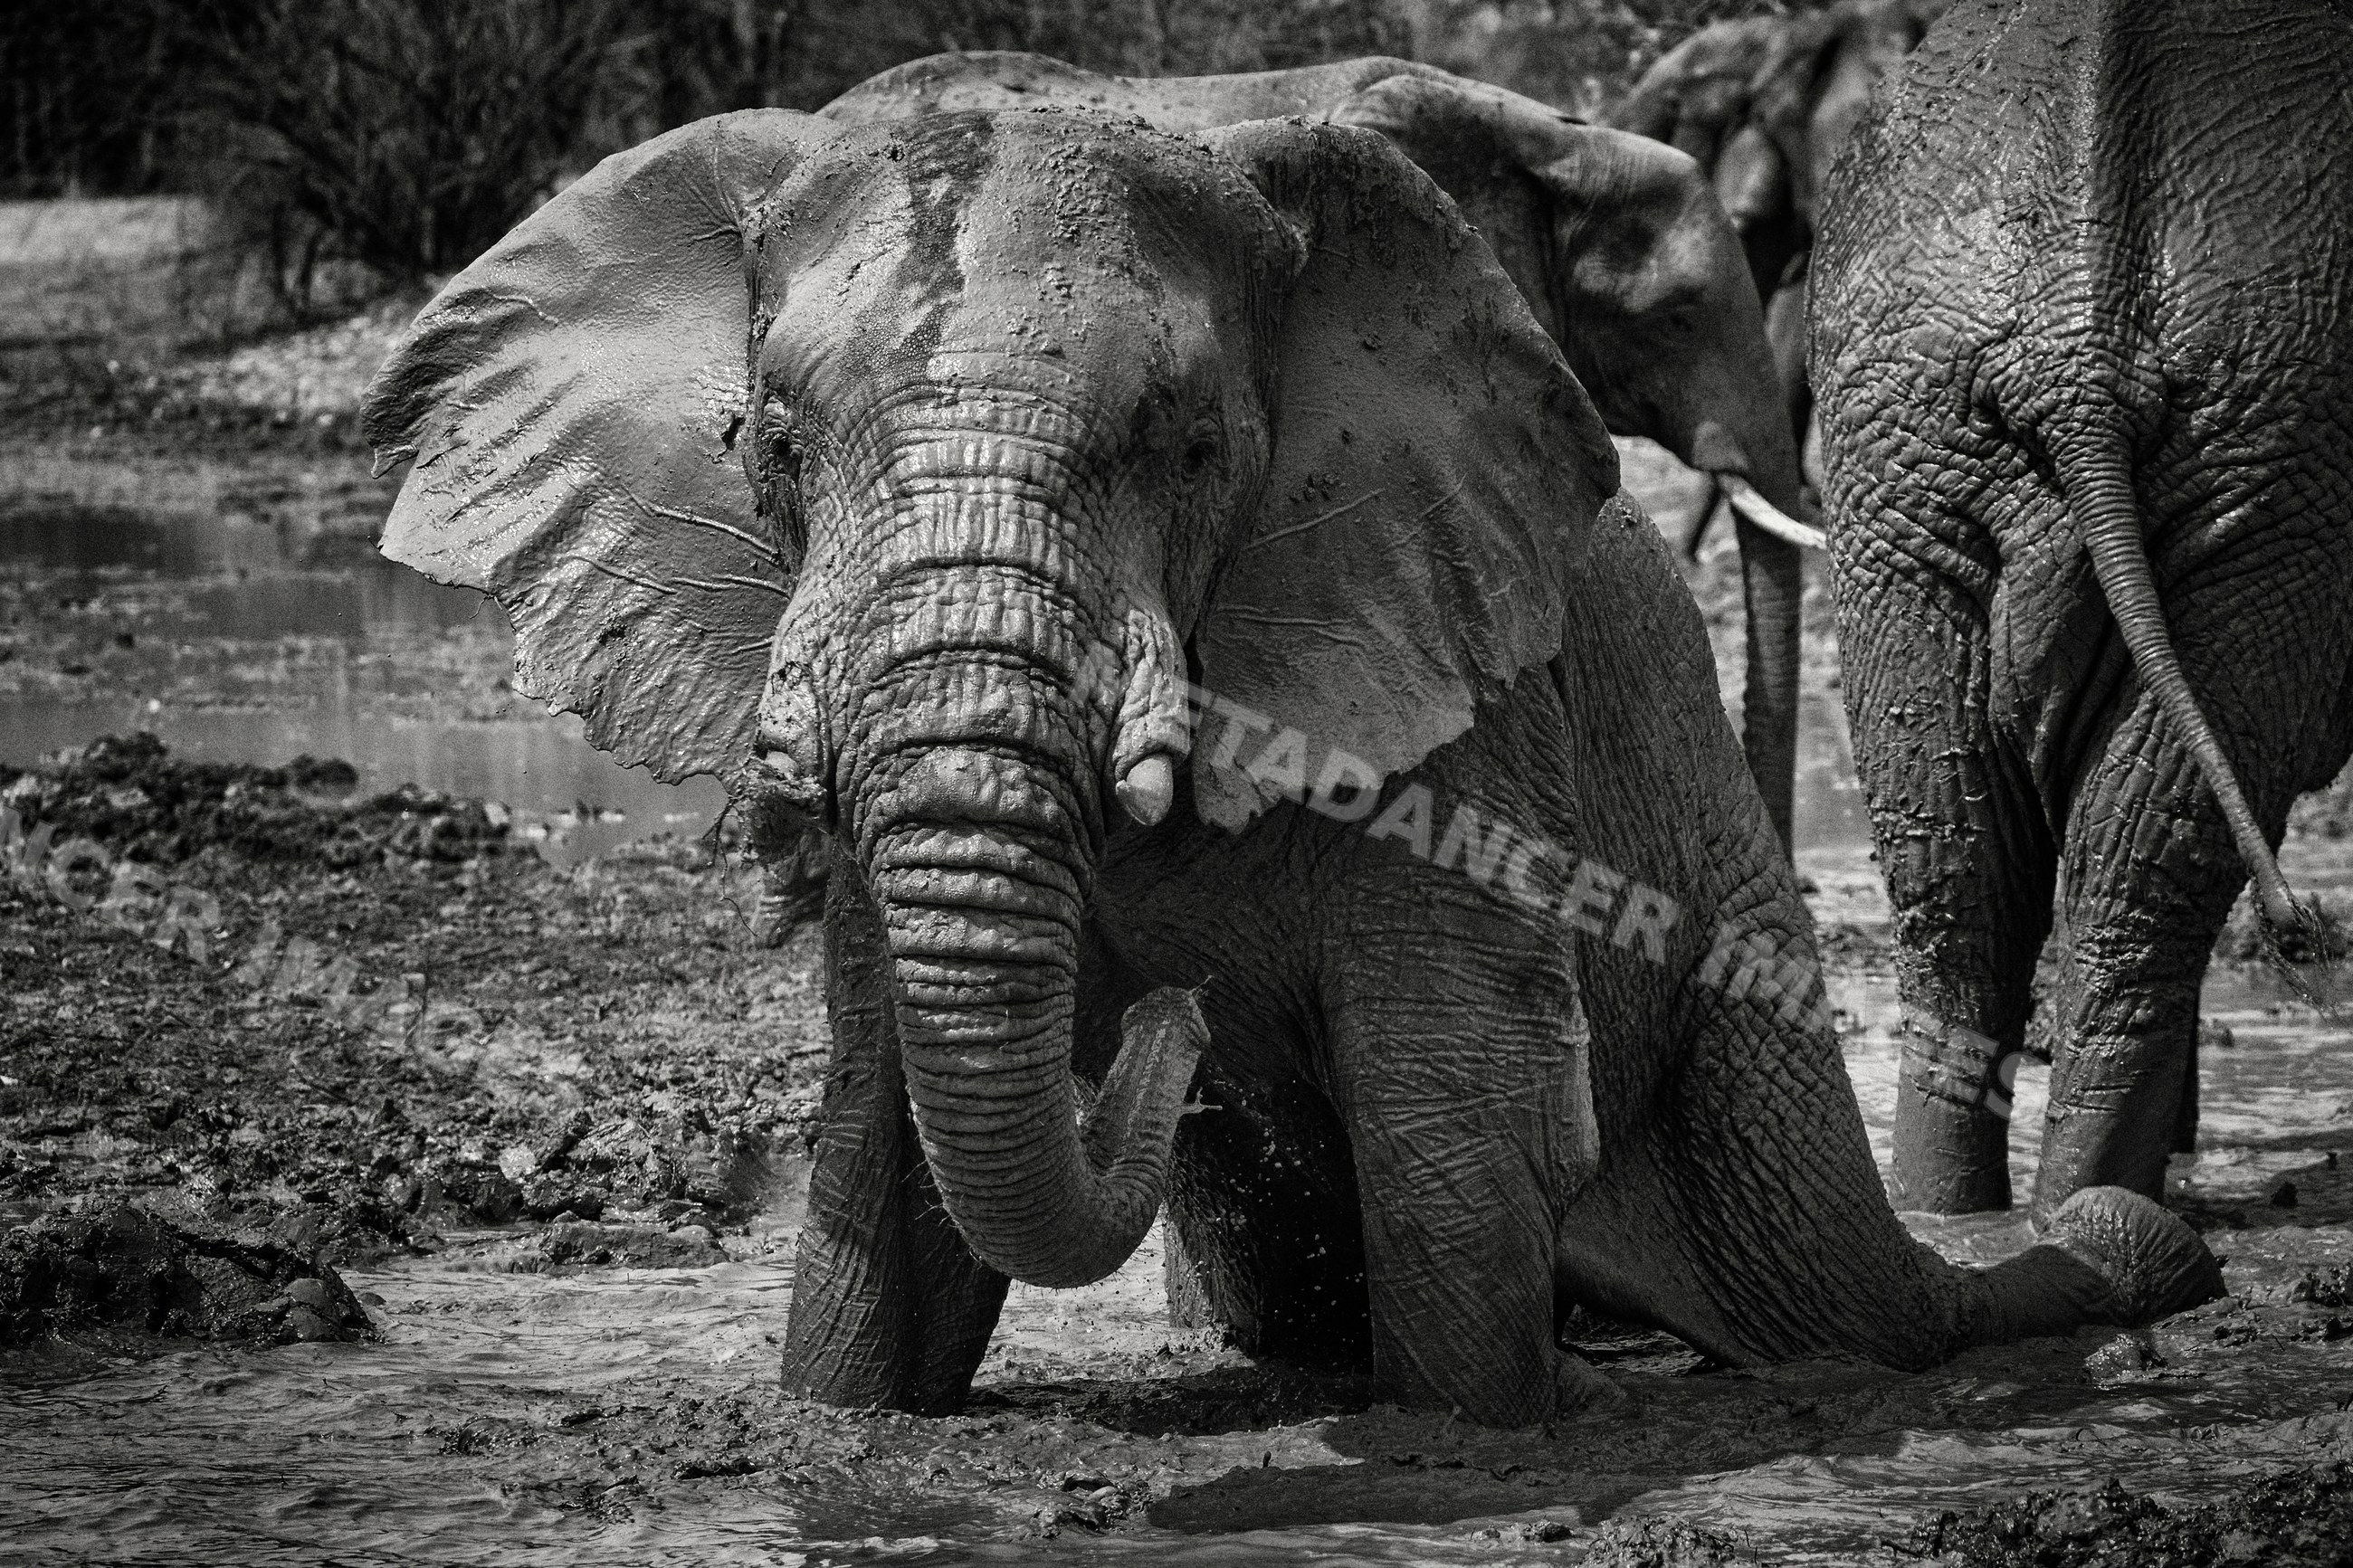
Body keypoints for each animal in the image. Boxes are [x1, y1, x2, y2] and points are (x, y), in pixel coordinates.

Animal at [1810, 0, 2353, 1219]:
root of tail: (2076, 355)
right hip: (2278, 458)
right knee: (2131, 850)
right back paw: (2096, 1207)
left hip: (1902, 439)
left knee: (1967, 843)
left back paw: (1968, 1212)